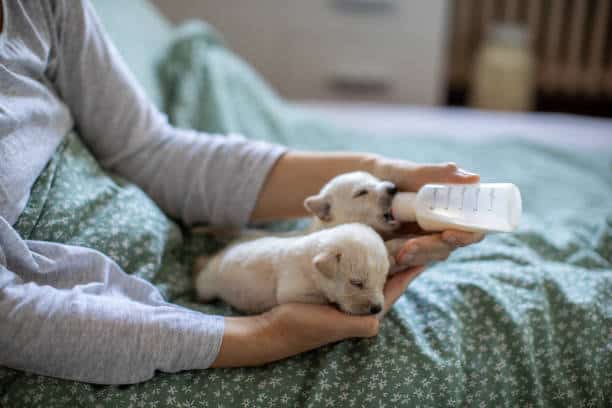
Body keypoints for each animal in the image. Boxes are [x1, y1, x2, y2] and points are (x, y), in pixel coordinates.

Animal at [194, 223, 390, 316]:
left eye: (382, 281)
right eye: (356, 283)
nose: (377, 309)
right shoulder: (292, 290)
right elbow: (320, 299)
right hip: (208, 283)